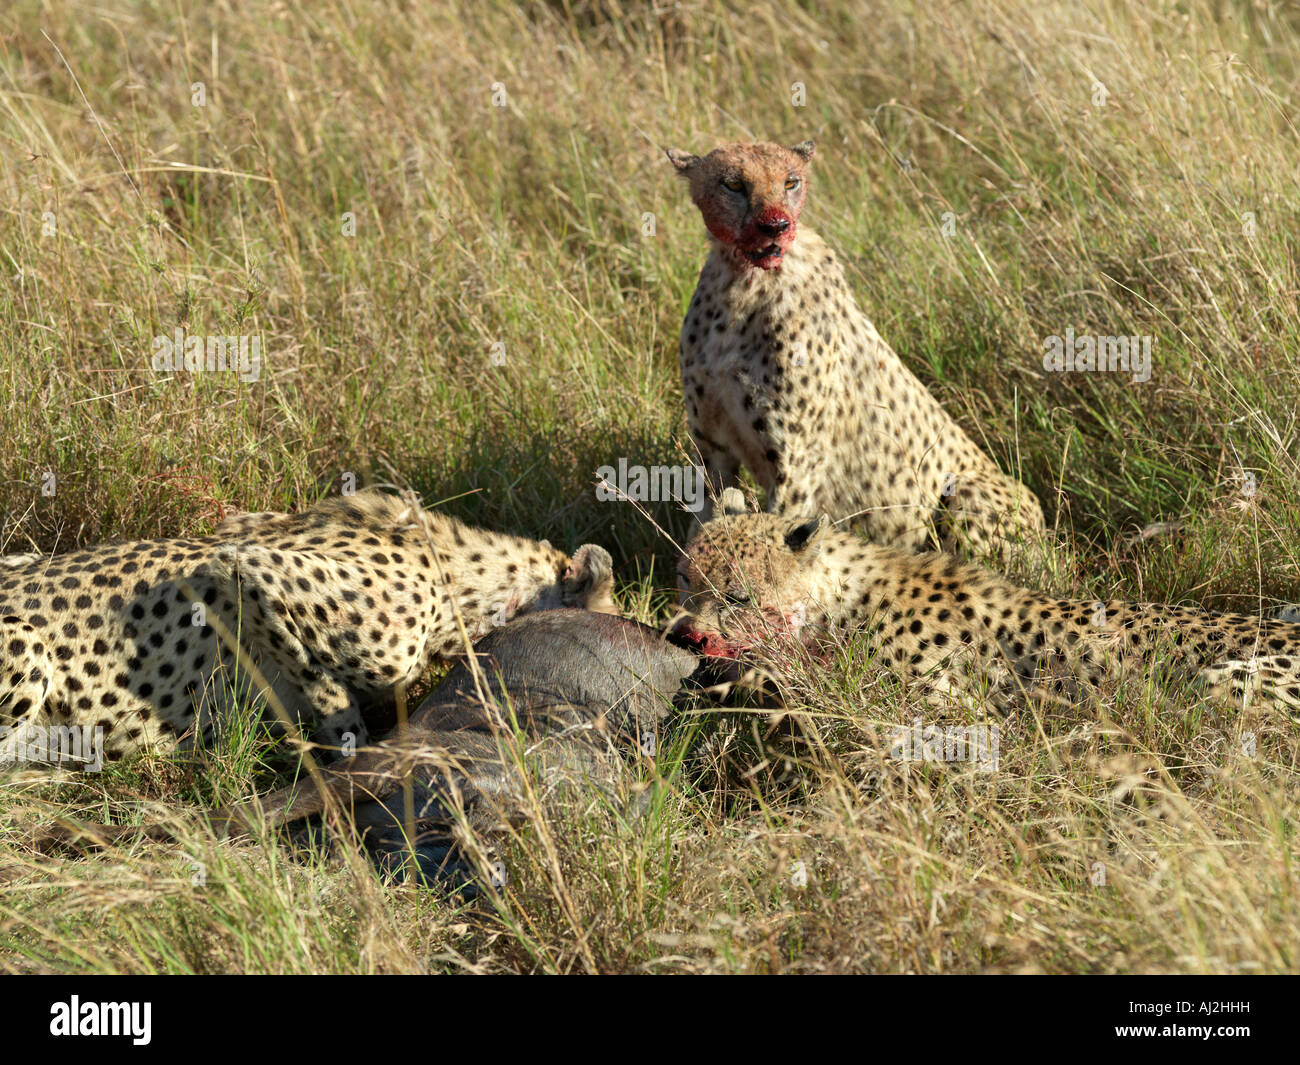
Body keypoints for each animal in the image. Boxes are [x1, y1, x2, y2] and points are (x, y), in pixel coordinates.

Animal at [670, 139, 1045, 566]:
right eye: (733, 184)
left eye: (790, 182)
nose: (776, 225)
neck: (743, 281)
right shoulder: (713, 448)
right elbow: (705, 523)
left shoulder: (796, 465)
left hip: (966, 494)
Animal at [676, 488, 1300, 717]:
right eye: (686, 580)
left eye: (736, 597)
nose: (685, 633)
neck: (840, 602)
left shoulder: (945, 709)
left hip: (1223, 685)